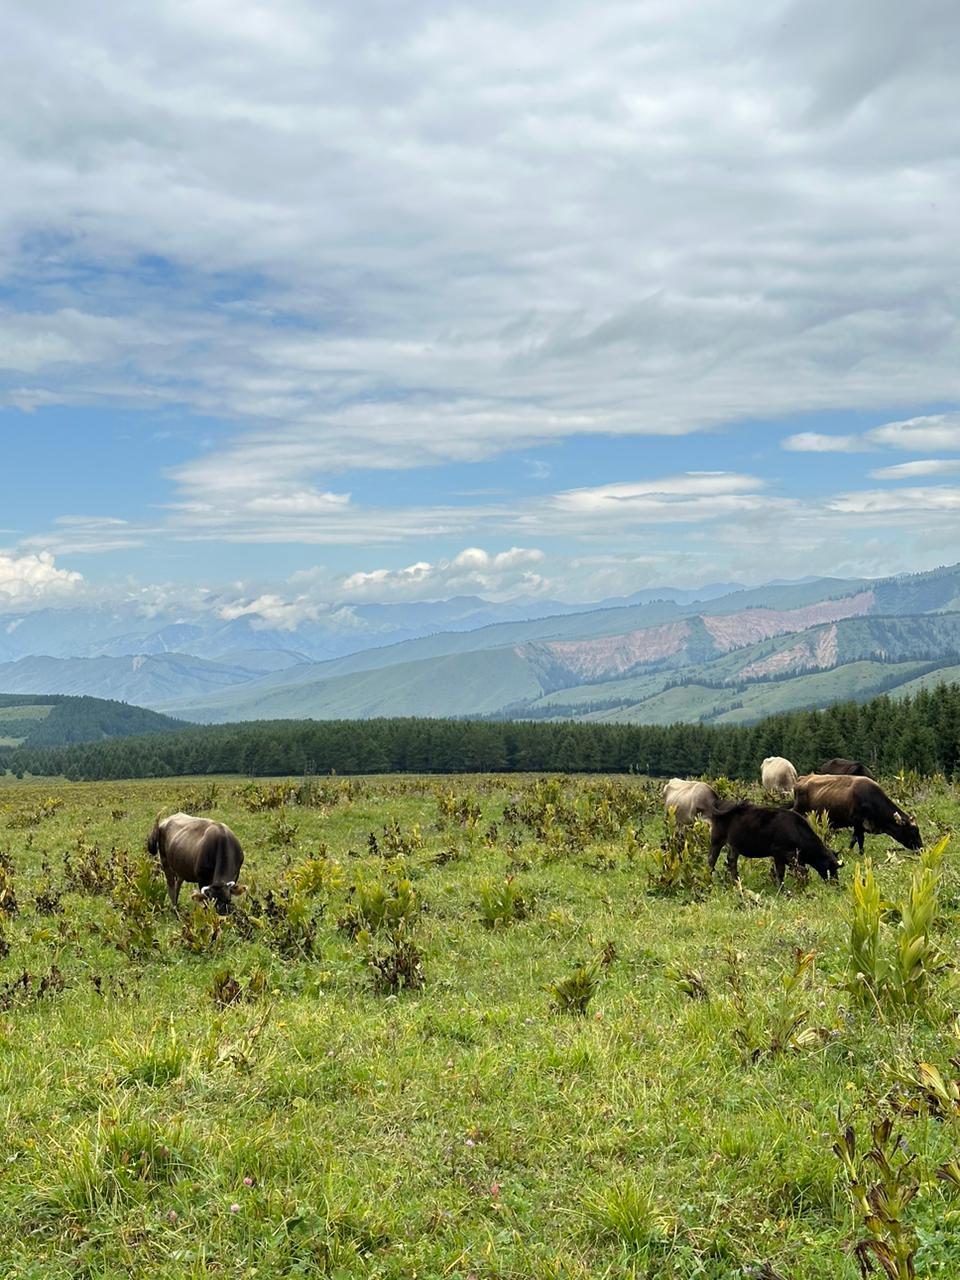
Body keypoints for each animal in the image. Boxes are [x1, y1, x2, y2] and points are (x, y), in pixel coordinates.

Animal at [706, 803, 839, 885]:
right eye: (831, 867)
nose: (836, 884)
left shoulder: (795, 857)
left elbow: (801, 871)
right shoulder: (778, 852)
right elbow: (780, 872)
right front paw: (782, 890)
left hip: (734, 845)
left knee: (731, 861)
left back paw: (736, 882)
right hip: (717, 839)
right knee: (712, 860)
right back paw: (709, 881)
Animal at [793, 773, 921, 855]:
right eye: (912, 831)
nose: (921, 848)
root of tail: (802, 778)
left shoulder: (862, 825)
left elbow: (859, 838)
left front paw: (860, 852)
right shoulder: (857, 821)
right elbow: (856, 838)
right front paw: (852, 851)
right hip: (799, 811)